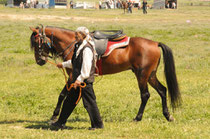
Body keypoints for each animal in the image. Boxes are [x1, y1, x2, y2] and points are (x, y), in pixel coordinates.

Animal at [30, 25, 182, 122]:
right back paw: (168, 116)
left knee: (145, 95)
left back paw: (138, 118)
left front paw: (54, 116)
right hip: (150, 75)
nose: (39, 60)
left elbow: (62, 94)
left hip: (142, 75)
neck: (74, 44)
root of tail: (155, 43)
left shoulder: (74, 75)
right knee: (162, 90)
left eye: (37, 42)